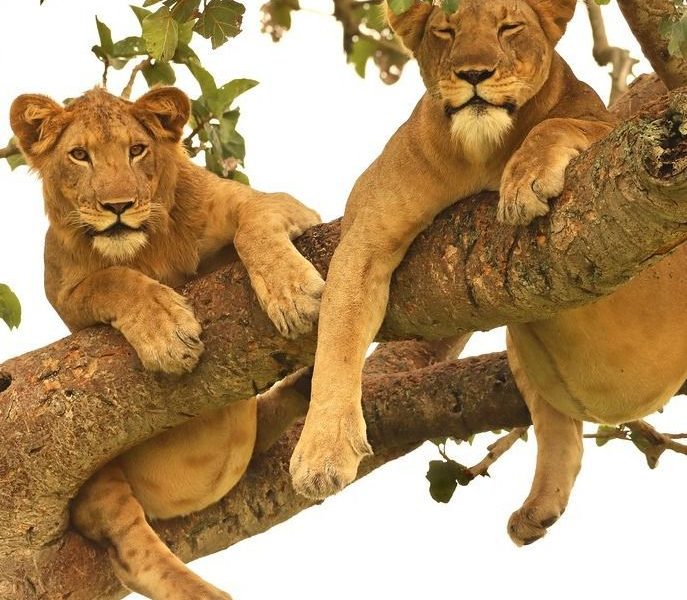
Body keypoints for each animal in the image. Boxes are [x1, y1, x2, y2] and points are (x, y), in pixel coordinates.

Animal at [10, 86, 324, 599]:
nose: (118, 205)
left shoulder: (266, 203)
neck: (146, 248)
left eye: (137, 149)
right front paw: (167, 333)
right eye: (79, 155)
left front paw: (293, 294)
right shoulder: (66, 295)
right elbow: (113, 280)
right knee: (131, 550)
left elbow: (254, 224)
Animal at [289, 0, 687, 545]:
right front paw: (322, 453)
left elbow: (561, 125)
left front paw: (524, 181)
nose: (474, 73)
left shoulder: (625, 164)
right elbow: (339, 336)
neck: (482, 151)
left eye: (509, 26)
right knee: (560, 427)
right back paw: (537, 510)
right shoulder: (364, 241)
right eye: (445, 31)